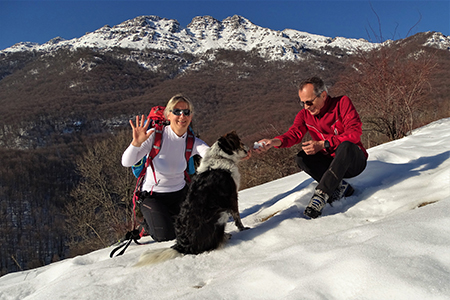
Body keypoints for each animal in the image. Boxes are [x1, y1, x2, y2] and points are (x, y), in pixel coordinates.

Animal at [136, 131, 250, 268]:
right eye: (239, 141)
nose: (248, 149)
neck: (220, 157)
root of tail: (182, 246)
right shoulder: (232, 196)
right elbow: (237, 217)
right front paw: (243, 229)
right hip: (220, 214)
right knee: (213, 244)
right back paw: (225, 237)